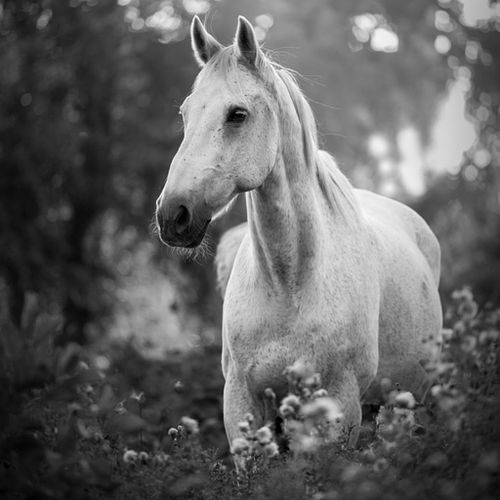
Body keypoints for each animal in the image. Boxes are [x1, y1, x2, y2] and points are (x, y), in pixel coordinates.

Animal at [155, 15, 443, 447]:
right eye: (186, 114)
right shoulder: (241, 403)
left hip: (404, 401)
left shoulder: (339, 406)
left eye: (237, 114)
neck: (288, 282)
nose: (172, 215)